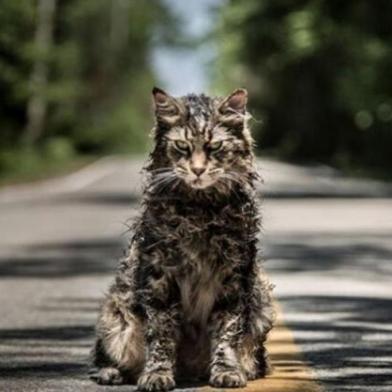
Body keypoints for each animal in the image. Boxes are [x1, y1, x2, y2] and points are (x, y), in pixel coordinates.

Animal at [90, 87, 276, 390]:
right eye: (181, 147)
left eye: (215, 147)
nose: (198, 170)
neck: (200, 210)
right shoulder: (159, 277)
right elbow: (161, 335)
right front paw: (157, 374)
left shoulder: (234, 276)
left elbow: (227, 332)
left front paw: (227, 371)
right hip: (116, 313)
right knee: (107, 356)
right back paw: (112, 373)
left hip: (262, 303)